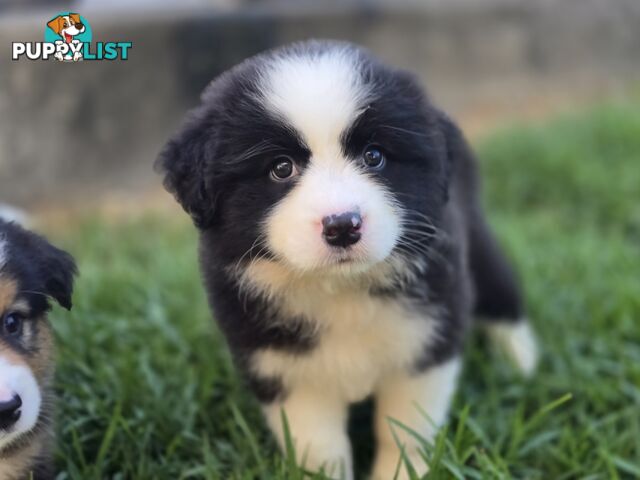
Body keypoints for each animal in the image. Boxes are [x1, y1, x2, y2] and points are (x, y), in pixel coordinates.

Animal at [158, 41, 536, 480]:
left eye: (374, 156)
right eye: (281, 168)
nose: (342, 226)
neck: (341, 289)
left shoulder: (426, 341)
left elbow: (404, 429)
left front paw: (400, 472)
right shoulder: (284, 367)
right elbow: (319, 447)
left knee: (499, 289)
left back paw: (521, 361)